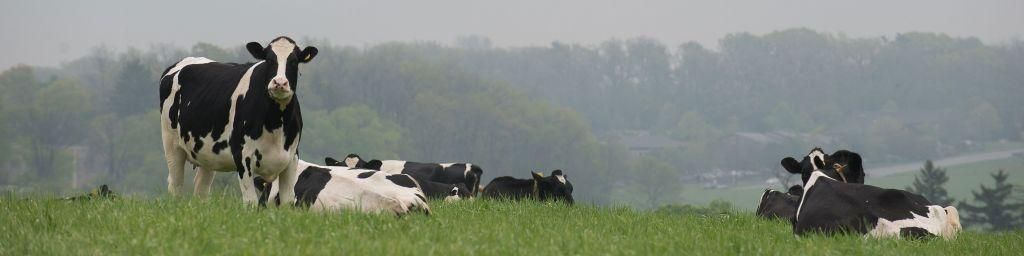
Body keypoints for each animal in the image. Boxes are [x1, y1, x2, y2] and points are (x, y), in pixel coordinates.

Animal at [158, 36, 315, 203]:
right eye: (269, 59)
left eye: (294, 61)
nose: (279, 83)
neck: (276, 124)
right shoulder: (243, 156)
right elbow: (250, 201)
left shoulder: (291, 158)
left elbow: (287, 201)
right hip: (171, 144)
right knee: (175, 185)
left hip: (206, 154)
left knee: (201, 189)